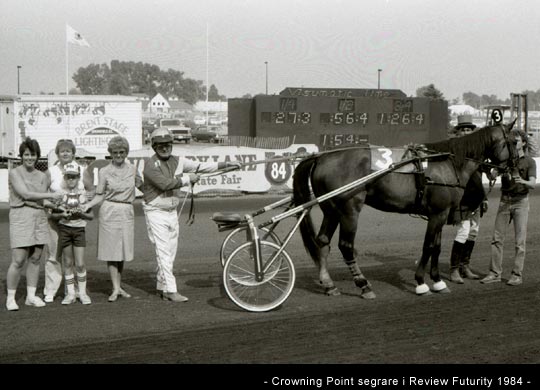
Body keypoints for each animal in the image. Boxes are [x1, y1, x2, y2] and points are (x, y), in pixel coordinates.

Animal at [294, 122, 516, 298]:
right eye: (514, 142)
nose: (513, 170)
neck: (447, 163)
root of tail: (321, 157)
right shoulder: (437, 214)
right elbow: (428, 246)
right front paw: (421, 283)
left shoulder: (440, 213)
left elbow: (437, 247)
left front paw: (438, 281)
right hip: (349, 209)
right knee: (346, 246)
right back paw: (363, 285)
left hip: (331, 209)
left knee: (323, 241)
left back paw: (329, 284)